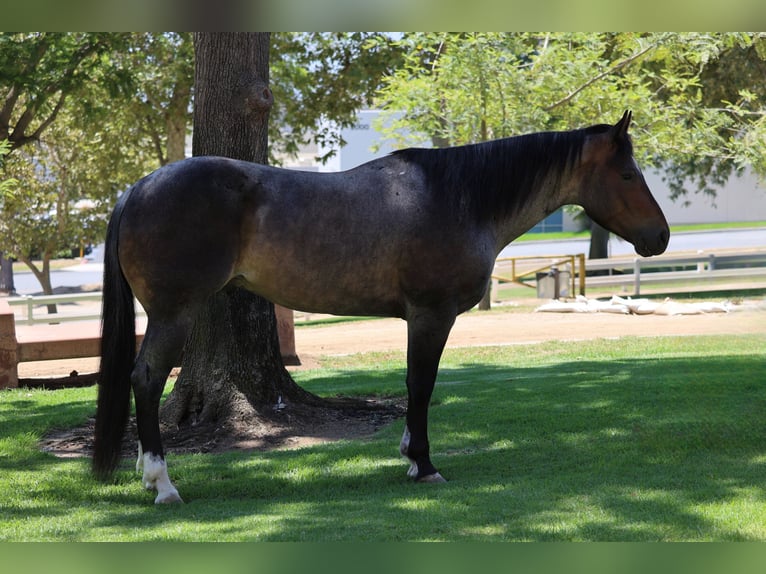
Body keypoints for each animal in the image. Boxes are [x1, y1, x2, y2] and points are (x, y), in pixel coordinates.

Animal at [93, 111, 669, 503]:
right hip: (174, 314)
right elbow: (421, 384)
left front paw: (411, 457)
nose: (660, 237)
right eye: (628, 175)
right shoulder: (431, 315)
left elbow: (416, 385)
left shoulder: (418, 318)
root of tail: (139, 187)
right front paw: (425, 465)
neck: (458, 198)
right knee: (146, 378)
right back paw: (162, 484)